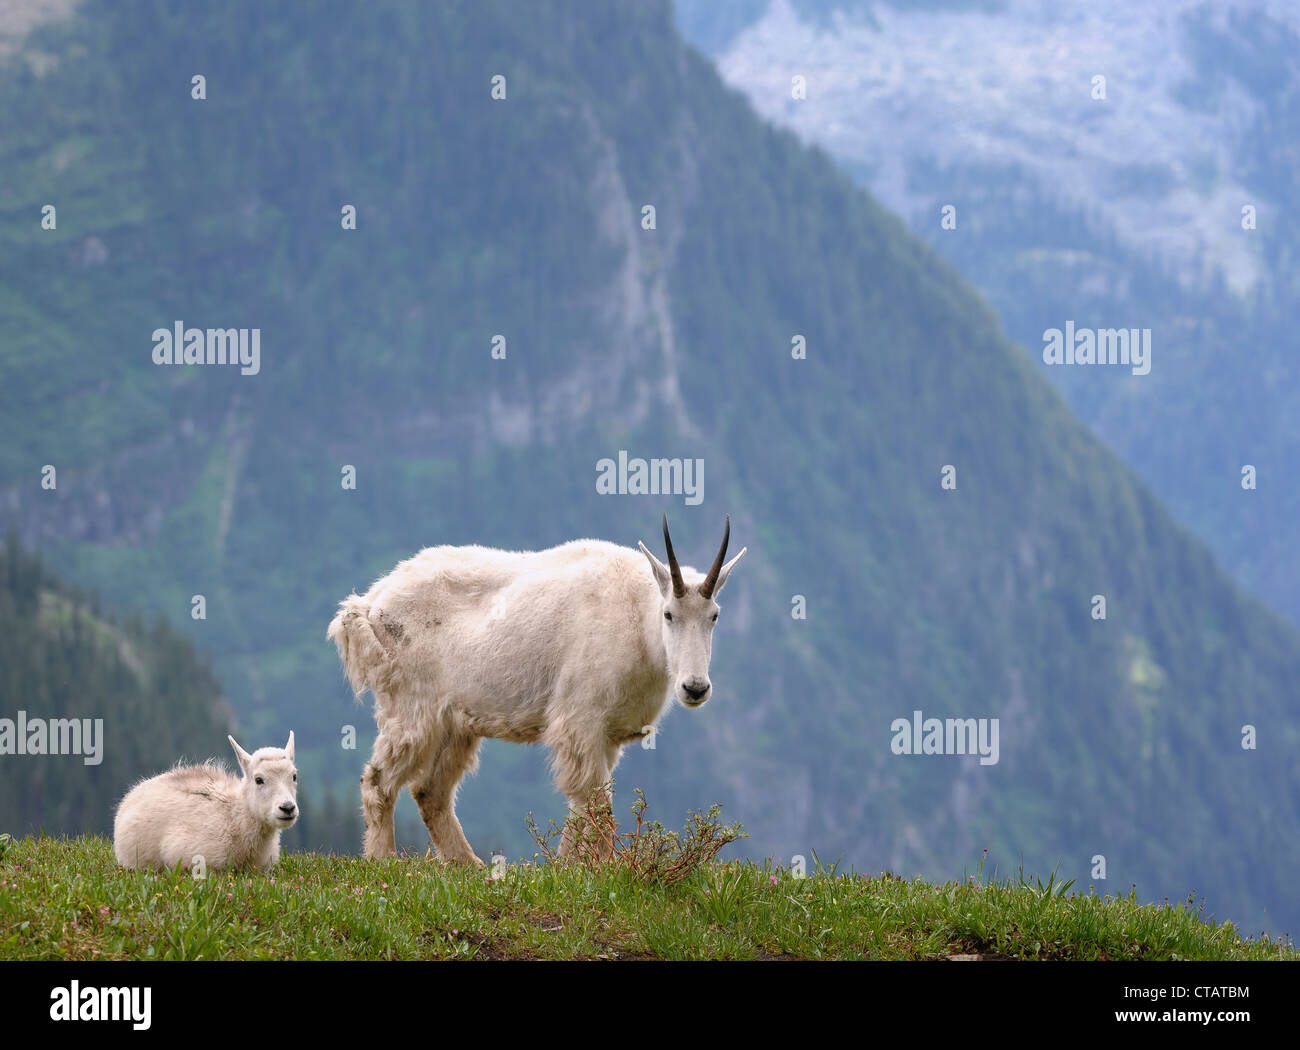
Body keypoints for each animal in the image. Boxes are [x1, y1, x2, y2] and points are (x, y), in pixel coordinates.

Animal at [330, 514, 748, 862]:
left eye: (714, 616)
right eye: (669, 614)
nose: (695, 688)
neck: (638, 620)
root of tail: (370, 604)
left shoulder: (606, 735)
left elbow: (583, 806)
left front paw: (566, 868)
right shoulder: (580, 720)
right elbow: (596, 803)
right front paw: (604, 870)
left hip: (456, 722)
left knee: (431, 792)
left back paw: (470, 867)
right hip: (412, 707)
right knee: (378, 782)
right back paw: (384, 861)